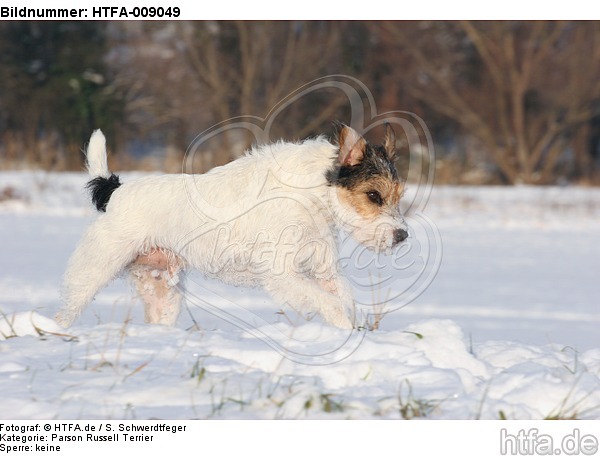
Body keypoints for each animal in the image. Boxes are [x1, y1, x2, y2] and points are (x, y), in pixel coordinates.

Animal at [55, 124, 408, 332]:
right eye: (373, 195)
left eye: (399, 195)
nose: (402, 236)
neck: (312, 194)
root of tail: (113, 191)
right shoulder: (283, 275)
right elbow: (331, 304)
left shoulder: (324, 271)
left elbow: (344, 298)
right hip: (91, 273)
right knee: (66, 311)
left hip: (162, 291)